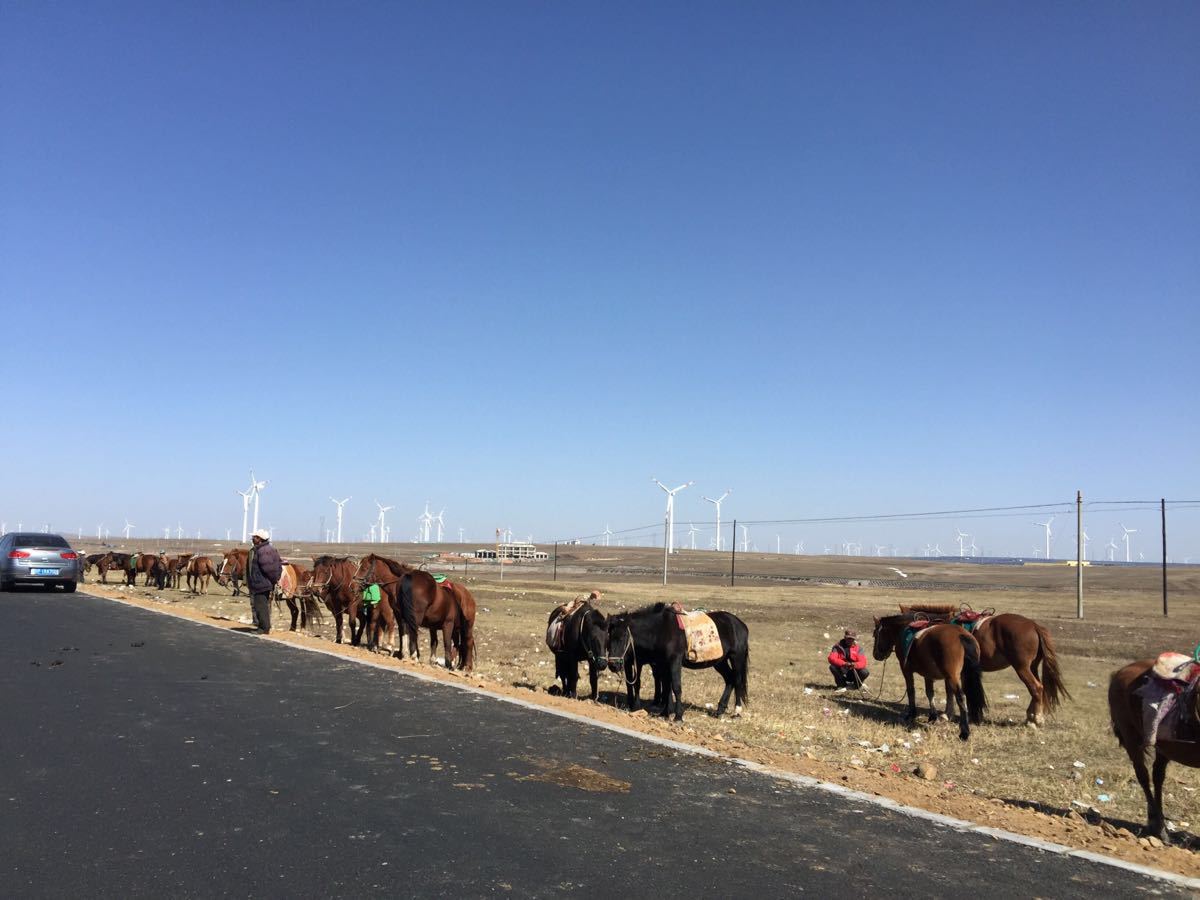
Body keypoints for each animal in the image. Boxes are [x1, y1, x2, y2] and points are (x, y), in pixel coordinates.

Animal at [609, 607, 748, 724]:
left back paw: (737, 711)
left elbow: (676, 687)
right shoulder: (663, 664)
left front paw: (678, 717)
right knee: (729, 679)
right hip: (720, 661)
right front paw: (664, 714)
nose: (613, 665)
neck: (660, 630)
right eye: (609, 637)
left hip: (737, 658)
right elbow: (666, 688)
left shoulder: (674, 661)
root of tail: (740, 624)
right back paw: (720, 710)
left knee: (737, 680)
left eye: (622, 637)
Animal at [902, 607, 1070, 724]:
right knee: (1038, 687)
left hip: (1021, 667)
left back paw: (1036, 720)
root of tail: (1034, 626)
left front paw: (948, 714)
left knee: (1036, 687)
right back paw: (1031, 716)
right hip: (1032, 666)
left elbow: (951, 690)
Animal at [1104, 657, 1200, 844]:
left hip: (1164, 746)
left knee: (1157, 776)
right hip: (1130, 737)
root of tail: (1120, 672)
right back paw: (1159, 827)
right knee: (1143, 775)